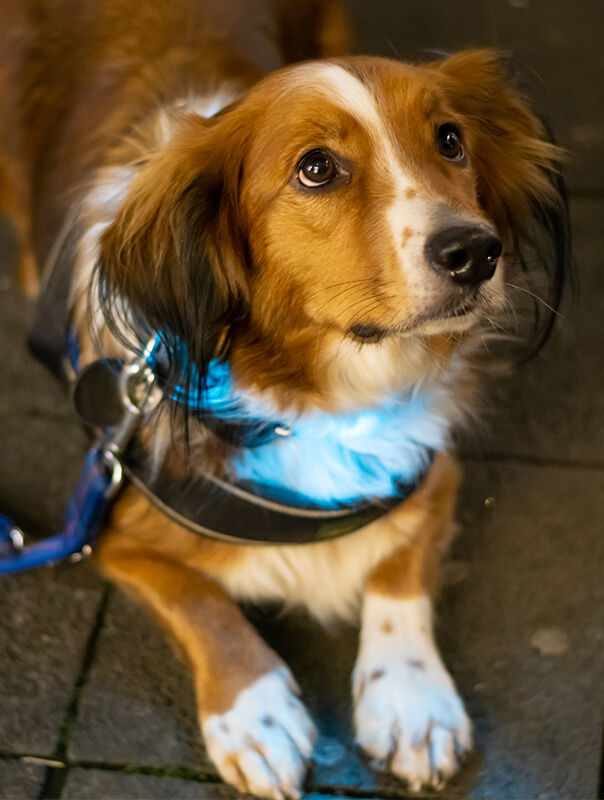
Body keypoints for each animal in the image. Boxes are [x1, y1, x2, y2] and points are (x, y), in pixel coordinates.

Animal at [0, 0, 568, 796]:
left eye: (451, 140)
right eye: (317, 168)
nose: (475, 252)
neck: (322, 400)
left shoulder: (432, 468)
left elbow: (400, 575)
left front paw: (411, 699)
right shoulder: (109, 524)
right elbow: (204, 604)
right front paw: (254, 714)